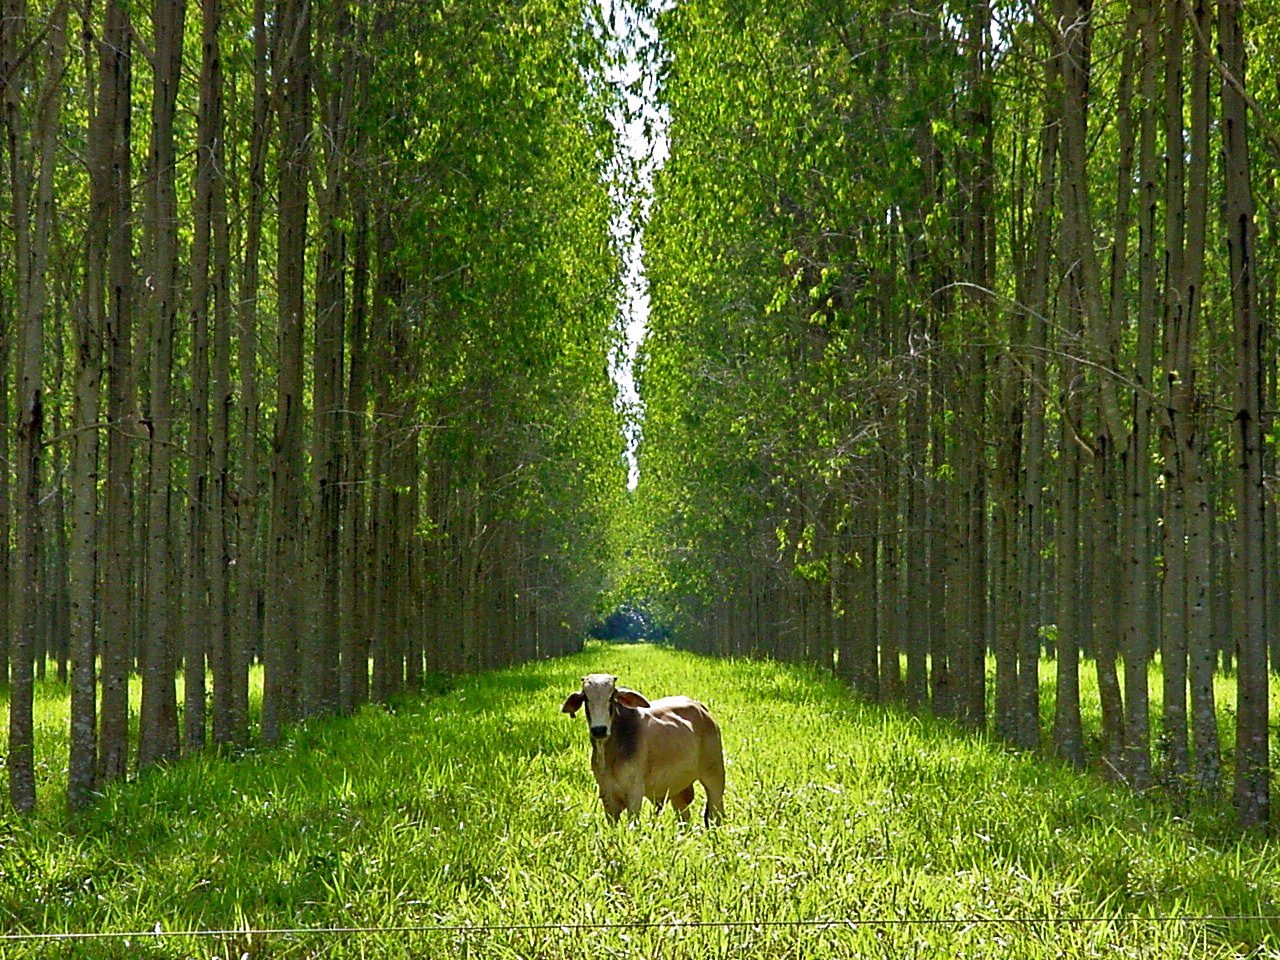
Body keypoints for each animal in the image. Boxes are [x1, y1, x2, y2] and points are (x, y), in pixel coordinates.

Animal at [563, 675, 727, 829]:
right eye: (585, 697)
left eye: (612, 697)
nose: (599, 730)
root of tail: (701, 708)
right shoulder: (607, 795)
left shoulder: (635, 792)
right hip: (677, 789)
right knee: (684, 817)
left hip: (714, 776)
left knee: (716, 813)